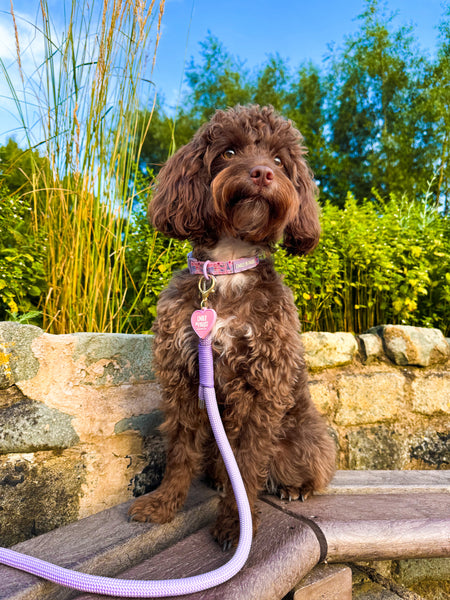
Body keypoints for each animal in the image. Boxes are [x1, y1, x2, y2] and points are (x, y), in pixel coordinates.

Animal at [128, 104, 336, 548]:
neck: (227, 268)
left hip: (304, 438)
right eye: (229, 151)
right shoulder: (184, 379)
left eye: (280, 160)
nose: (262, 173)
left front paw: (236, 525)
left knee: (300, 467)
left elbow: (248, 460)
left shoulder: (263, 387)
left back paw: (294, 487)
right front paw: (164, 505)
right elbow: (180, 451)